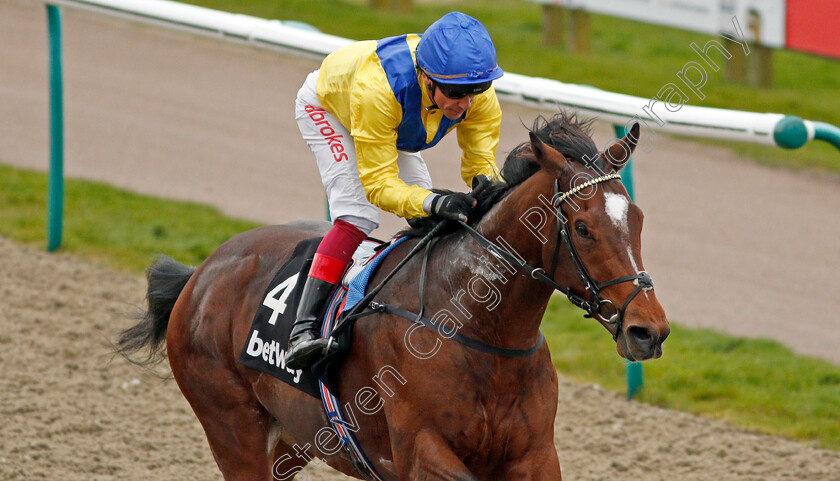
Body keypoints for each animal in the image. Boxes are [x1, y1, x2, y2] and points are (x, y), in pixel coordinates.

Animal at [116, 113, 668, 480]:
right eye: (583, 227)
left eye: (638, 219)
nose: (649, 330)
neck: (478, 332)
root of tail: (203, 272)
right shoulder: (420, 452)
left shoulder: (535, 455)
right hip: (233, 427)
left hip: (295, 436)